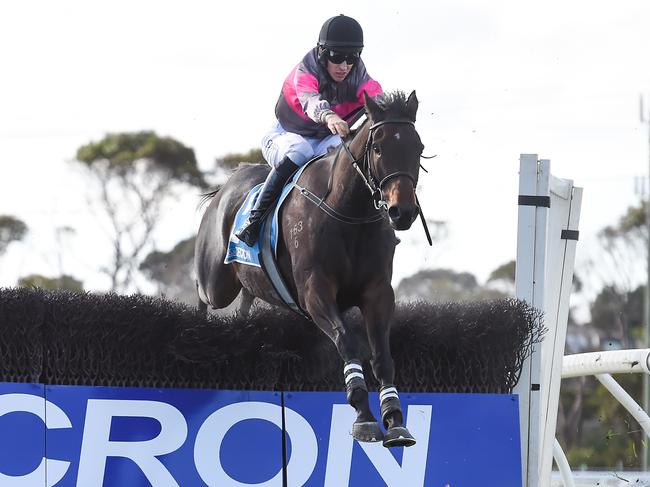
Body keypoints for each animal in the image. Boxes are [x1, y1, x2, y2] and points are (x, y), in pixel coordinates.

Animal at [192, 89, 426, 448]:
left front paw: (395, 420)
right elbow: (347, 341)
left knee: (245, 302)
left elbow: (382, 356)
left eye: (418, 148)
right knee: (203, 294)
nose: (403, 211)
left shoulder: (378, 291)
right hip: (215, 282)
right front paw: (364, 417)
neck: (348, 211)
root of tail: (227, 185)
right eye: (378, 147)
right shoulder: (315, 291)